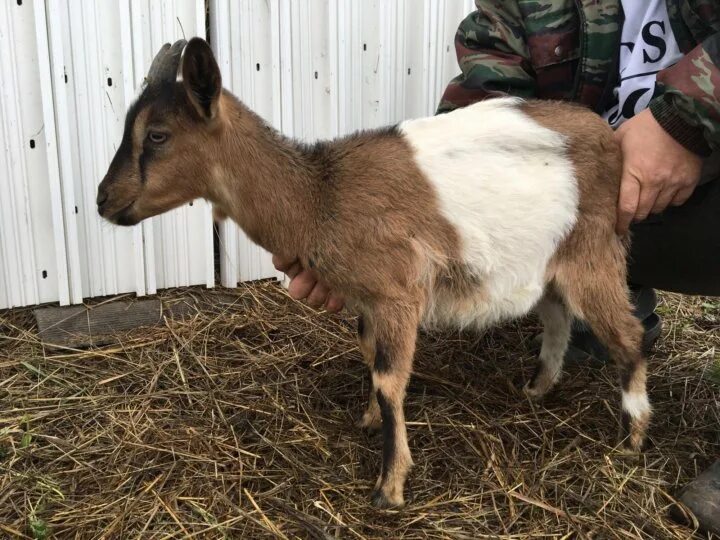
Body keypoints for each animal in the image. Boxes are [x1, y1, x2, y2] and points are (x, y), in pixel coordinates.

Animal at [97, 39, 652, 510]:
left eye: (158, 135)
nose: (103, 200)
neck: (319, 196)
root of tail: (609, 137)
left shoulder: (396, 292)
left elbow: (389, 380)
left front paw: (390, 487)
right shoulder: (366, 300)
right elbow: (368, 355)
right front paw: (365, 421)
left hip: (593, 250)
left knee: (627, 334)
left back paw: (633, 436)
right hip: (549, 261)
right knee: (558, 318)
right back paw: (537, 389)